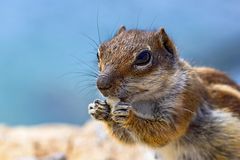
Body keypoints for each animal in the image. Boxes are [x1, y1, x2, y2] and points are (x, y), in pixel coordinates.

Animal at [88, 25, 240, 159]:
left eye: (143, 57)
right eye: (99, 53)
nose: (101, 84)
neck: (143, 101)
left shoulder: (184, 100)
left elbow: (165, 132)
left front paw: (128, 116)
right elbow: (128, 139)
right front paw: (100, 110)